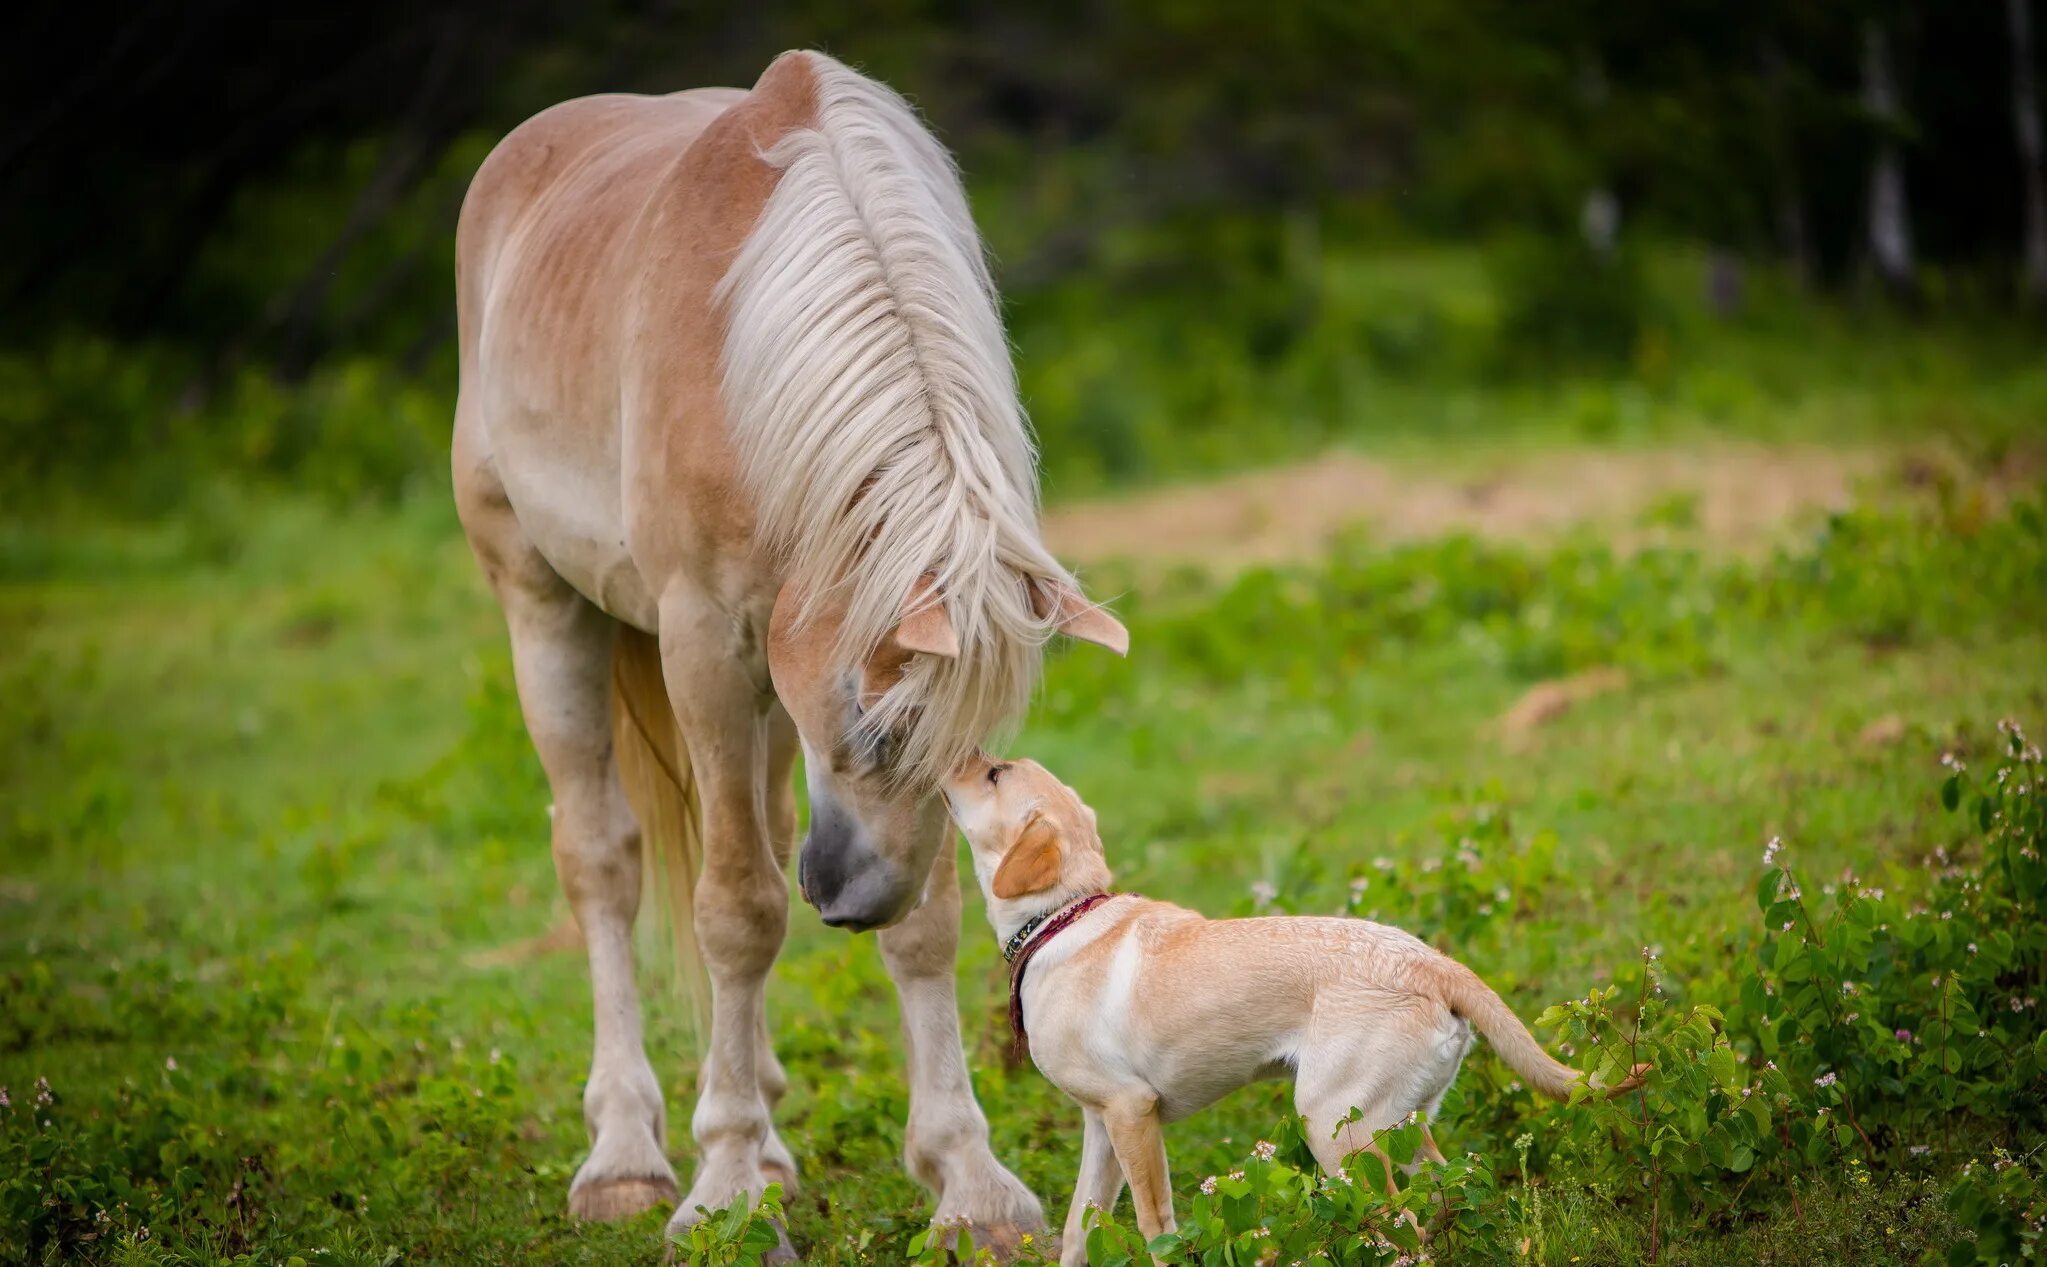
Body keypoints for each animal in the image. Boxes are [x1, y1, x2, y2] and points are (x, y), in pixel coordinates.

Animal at [448, 47, 1129, 1252]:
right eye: (874, 721)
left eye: (974, 748)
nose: (852, 902)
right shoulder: (706, 649)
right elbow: (736, 910)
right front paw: (722, 1187)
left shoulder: (786, 683)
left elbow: (926, 927)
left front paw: (968, 1183)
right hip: (542, 603)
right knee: (603, 859)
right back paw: (627, 1156)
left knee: (755, 839)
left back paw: (764, 1126)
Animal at [945, 753, 1645, 1260]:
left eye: (992, 773)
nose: (951, 751)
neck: (1058, 916)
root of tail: (1432, 962)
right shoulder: (1101, 1124)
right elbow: (1077, 1229)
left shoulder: (1132, 1113)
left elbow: (1155, 1226)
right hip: (1400, 1127)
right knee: (1444, 1199)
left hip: (1333, 1128)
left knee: (1405, 1232)